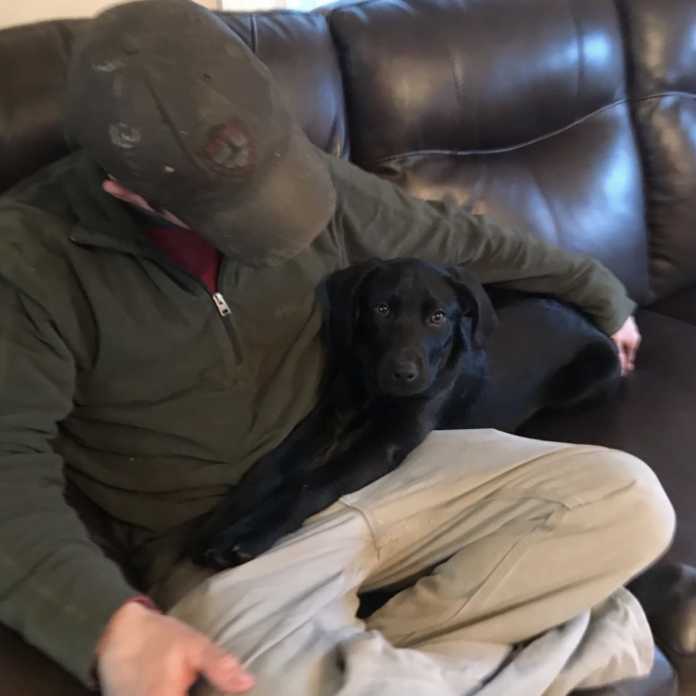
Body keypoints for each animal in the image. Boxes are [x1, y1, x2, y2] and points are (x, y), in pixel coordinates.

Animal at [188, 258, 624, 568]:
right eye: (381, 309)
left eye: (438, 317)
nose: (404, 374)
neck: (376, 387)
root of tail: (589, 323)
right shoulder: (334, 409)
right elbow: (275, 463)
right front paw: (224, 515)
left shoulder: (386, 443)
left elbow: (310, 483)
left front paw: (246, 534)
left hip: (589, 380)